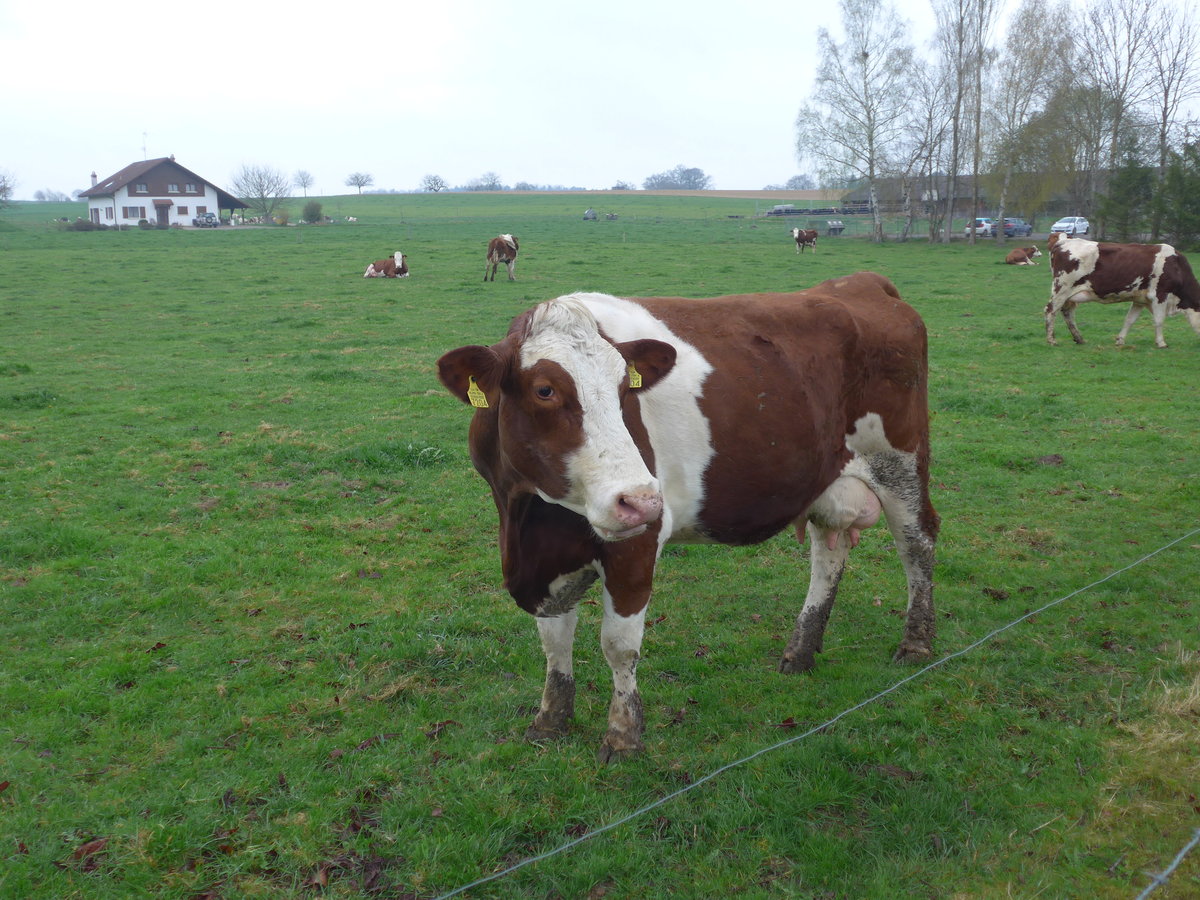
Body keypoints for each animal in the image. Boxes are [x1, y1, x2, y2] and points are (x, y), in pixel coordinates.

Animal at [437, 273, 939, 761]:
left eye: (624, 390)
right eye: (544, 390)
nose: (640, 499)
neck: (530, 516)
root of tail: (862, 282)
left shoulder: (637, 543)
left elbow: (619, 645)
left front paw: (623, 736)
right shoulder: (541, 561)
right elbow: (554, 639)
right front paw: (550, 720)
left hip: (900, 461)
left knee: (917, 541)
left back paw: (916, 643)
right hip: (824, 479)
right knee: (827, 554)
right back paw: (800, 652)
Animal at [1045, 235, 1200, 348]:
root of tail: (1063, 242)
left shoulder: (1140, 300)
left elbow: (1130, 320)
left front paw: (1120, 340)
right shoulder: (1159, 295)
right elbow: (1159, 320)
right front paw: (1161, 343)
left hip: (1069, 295)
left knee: (1068, 313)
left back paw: (1079, 339)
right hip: (1062, 289)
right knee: (1050, 310)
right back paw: (1051, 340)